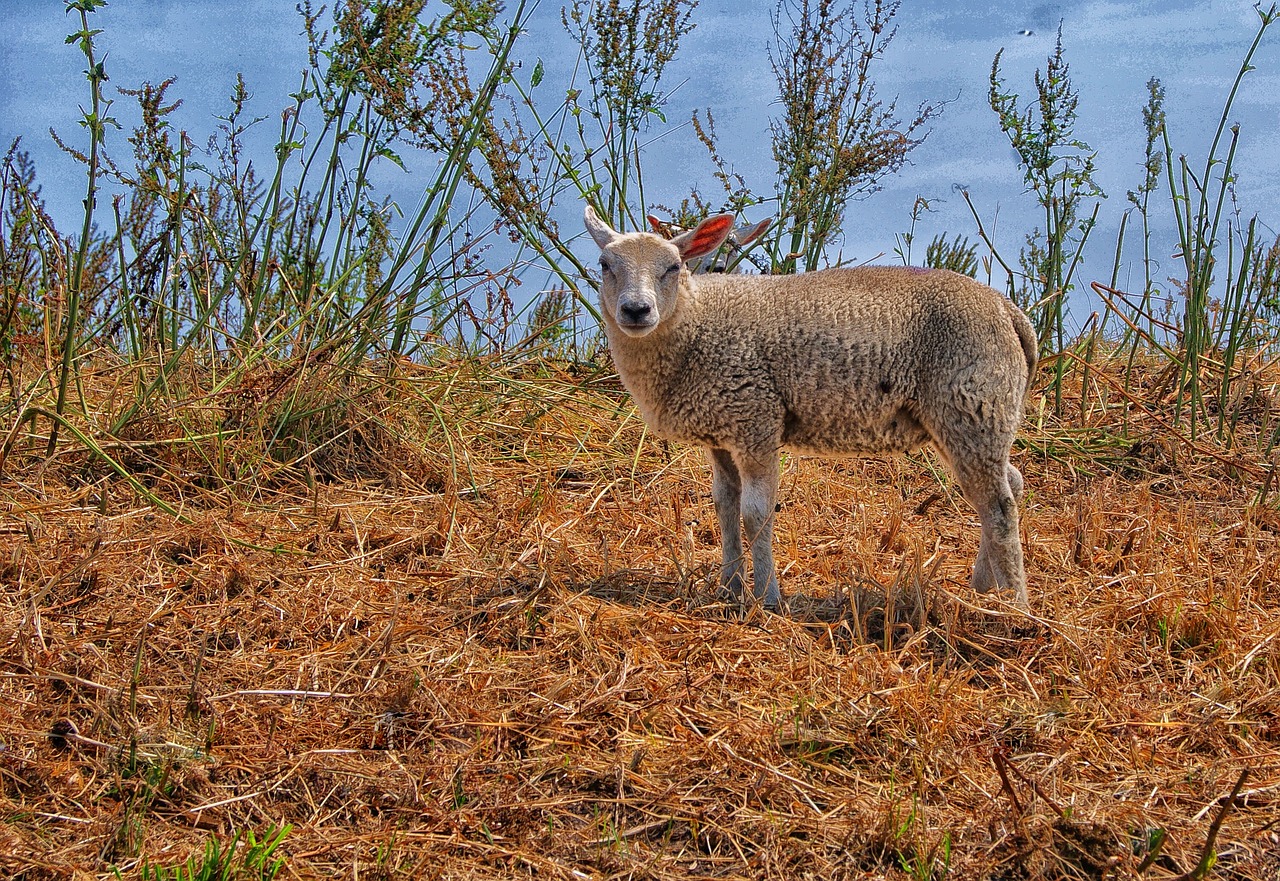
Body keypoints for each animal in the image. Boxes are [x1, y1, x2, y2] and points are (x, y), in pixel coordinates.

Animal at [583, 203, 1039, 609]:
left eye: (673, 267)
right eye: (605, 265)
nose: (636, 310)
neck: (697, 321)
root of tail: (1010, 312)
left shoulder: (756, 418)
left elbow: (755, 514)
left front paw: (767, 598)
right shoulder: (723, 431)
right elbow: (725, 508)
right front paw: (729, 590)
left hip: (973, 402)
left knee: (999, 506)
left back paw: (1016, 609)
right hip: (967, 415)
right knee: (1008, 485)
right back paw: (985, 588)